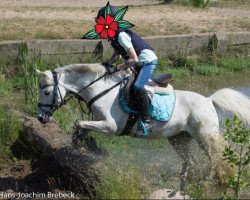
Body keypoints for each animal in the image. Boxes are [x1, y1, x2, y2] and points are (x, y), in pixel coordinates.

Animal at [36, 63, 250, 181]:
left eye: (46, 92)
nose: (40, 118)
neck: (101, 90)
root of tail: (208, 100)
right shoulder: (100, 122)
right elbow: (83, 127)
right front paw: (85, 144)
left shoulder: (111, 127)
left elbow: (79, 124)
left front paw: (79, 143)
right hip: (179, 138)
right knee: (190, 161)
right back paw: (185, 179)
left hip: (205, 136)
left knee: (216, 155)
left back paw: (219, 176)